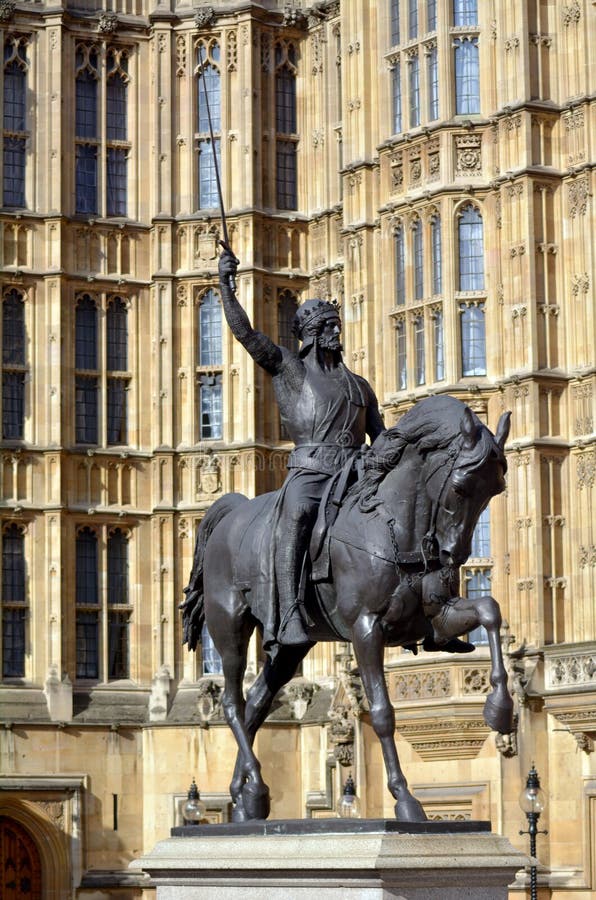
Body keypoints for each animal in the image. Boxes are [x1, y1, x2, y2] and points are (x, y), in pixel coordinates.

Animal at [180, 394, 512, 824]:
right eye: (460, 485)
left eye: (496, 490)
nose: (452, 556)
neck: (392, 524)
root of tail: (229, 512)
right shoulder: (366, 627)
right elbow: (383, 712)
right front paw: (404, 798)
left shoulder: (435, 619)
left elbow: (490, 609)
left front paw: (500, 710)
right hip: (230, 626)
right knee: (233, 703)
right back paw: (255, 788)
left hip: (290, 646)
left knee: (256, 703)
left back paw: (244, 796)